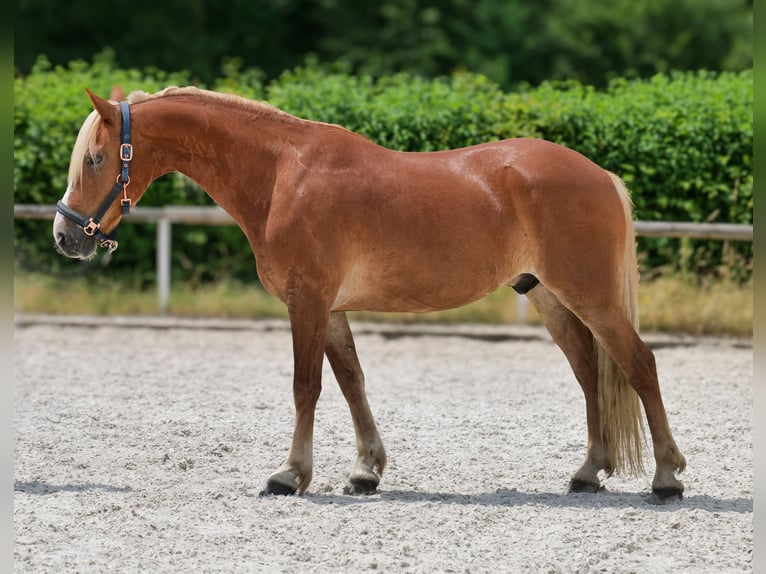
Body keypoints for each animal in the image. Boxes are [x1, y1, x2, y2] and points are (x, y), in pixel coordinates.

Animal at [53, 86, 686, 503]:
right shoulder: (331, 309)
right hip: (550, 297)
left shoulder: (307, 301)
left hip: (592, 297)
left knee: (640, 364)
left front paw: (290, 474)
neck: (282, 175)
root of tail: (602, 176)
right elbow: (352, 382)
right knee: (589, 371)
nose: (64, 236)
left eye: (96, 157)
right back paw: (588, 471)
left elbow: (306, 386)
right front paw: (366, 471)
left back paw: (667, 478)